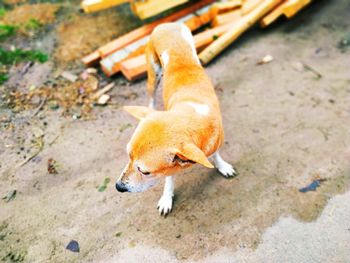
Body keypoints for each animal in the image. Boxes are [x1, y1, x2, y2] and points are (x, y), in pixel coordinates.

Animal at [116, 22, 237, 217]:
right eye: (128, 157)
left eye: (145, 172)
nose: (118, 187)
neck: (189, 112)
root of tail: (167, 25)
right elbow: (169, 179)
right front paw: (167, 198)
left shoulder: (214, 140)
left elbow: (215, 154)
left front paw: (222, 166)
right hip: (153, 74)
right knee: (151, 95)